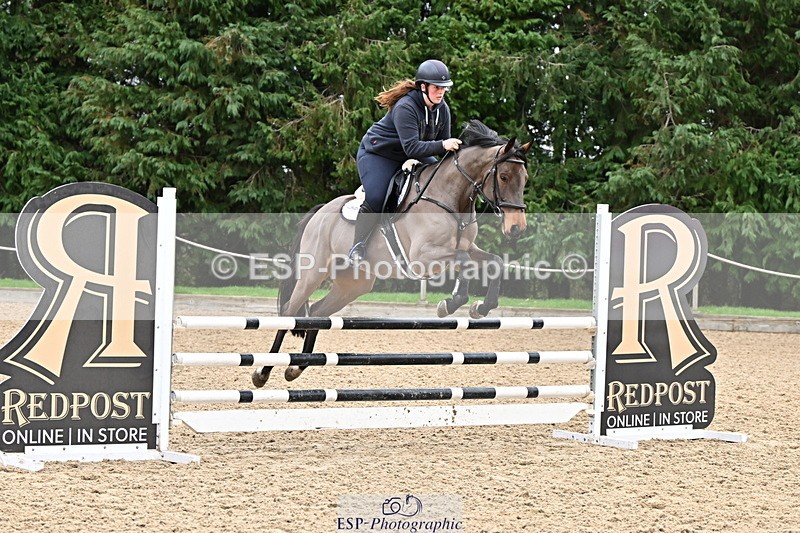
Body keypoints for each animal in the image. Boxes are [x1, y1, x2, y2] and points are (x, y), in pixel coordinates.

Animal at [252, 119, 531, 387]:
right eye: (504, 176)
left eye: (525, 178)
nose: (516, 228)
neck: (450, 198)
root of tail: (319, 213)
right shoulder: (423, 259)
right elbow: (464, 263)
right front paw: (450, 304)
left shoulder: (466, 249)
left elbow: (494, 262)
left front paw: (479, 307)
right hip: (313, 273)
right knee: (289, 312)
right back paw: (262, 372)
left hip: (353, 284)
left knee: (318, 312)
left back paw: (295, 368)